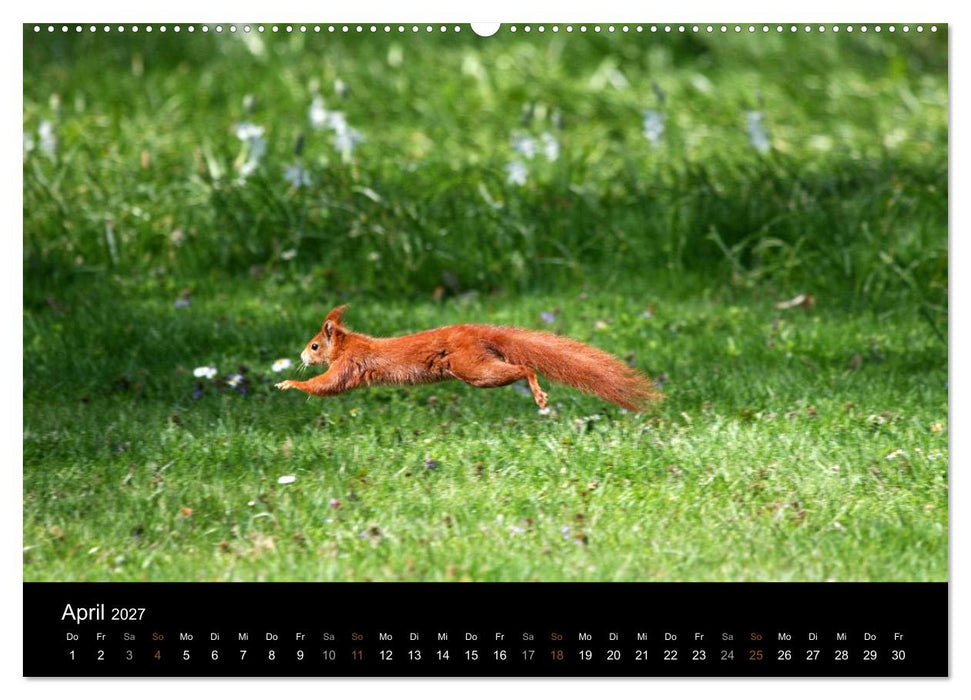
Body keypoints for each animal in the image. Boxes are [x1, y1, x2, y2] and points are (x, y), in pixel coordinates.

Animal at [275, 305, 663, 411]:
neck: (347, 344)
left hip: (472, 369)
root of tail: (475, 332)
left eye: (314, 346)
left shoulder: (349, 365)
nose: (301, 354)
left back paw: (538, 393)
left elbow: (328, 384)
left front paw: (290, 382)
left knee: (525, 367)